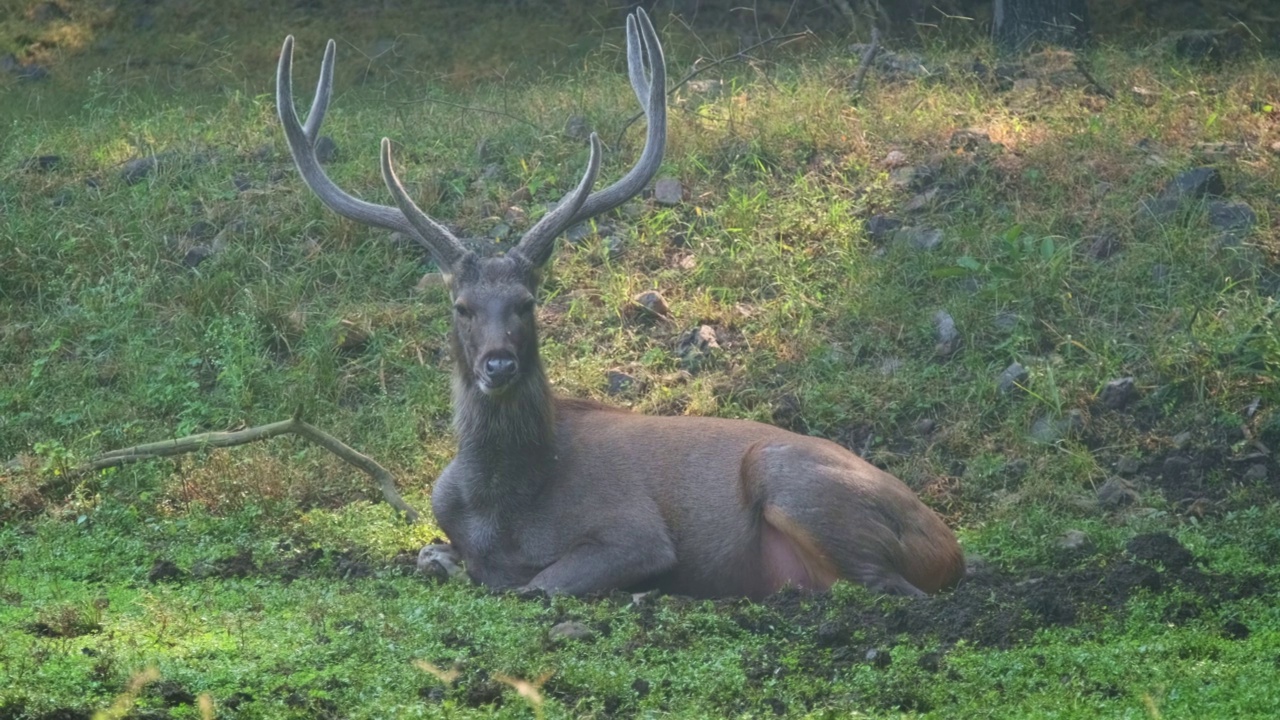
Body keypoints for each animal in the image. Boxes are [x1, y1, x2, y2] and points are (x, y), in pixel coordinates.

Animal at [277, 11, 962, 597]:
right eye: (461, 306)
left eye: (527, 302)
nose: (498, 364)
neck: (501, 508)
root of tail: (951, 546)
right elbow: (435, 556)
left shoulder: (635, 532)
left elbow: (536, 583)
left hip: (796, 483)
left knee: (885, 586)